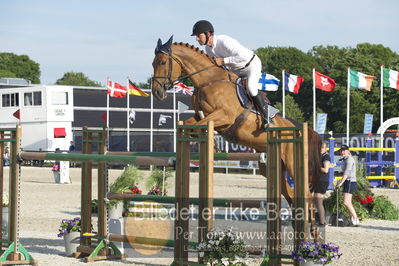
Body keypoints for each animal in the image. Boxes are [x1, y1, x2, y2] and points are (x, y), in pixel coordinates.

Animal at [152, 37, 324, 204]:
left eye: (162, 62)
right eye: (153, 63)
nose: (156, 92)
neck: (208, 80)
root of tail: (300, 129)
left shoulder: (224, 115)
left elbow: (201, 125)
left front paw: (213, 146)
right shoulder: (202, 114)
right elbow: (191, 125)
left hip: (292, 163)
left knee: (306, 194)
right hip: (273, 166)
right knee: (290, 194)